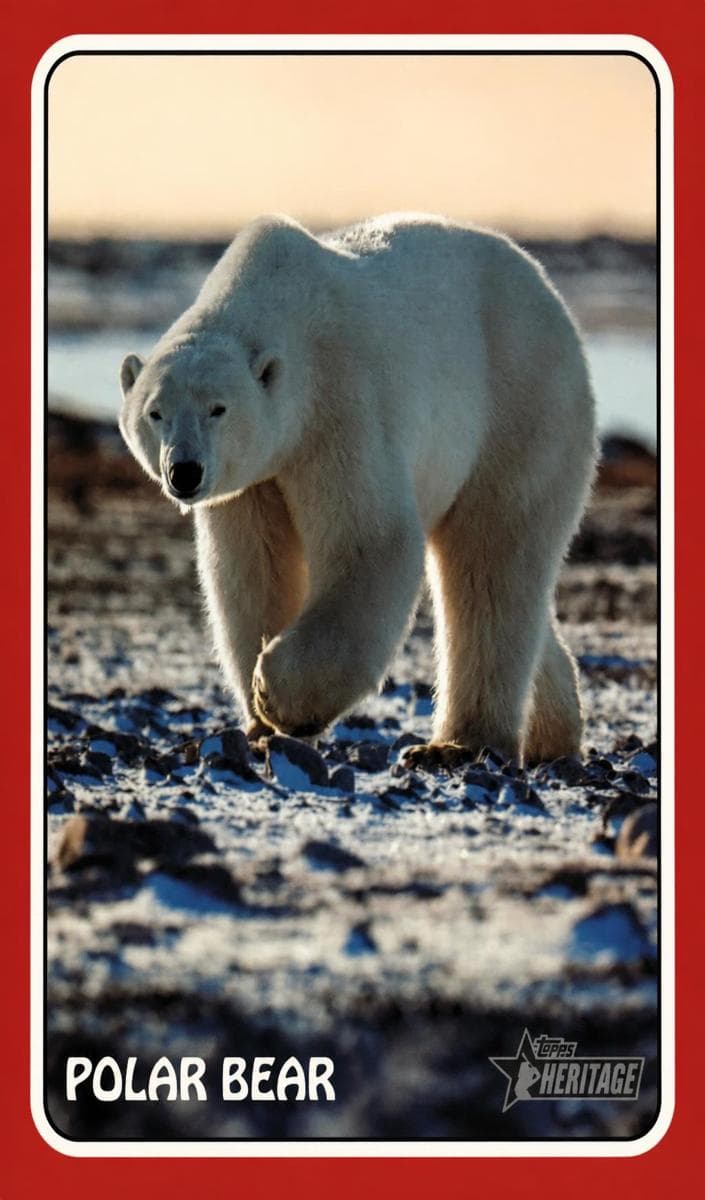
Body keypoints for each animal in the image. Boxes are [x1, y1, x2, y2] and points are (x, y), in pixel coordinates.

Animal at [119, 213, 596, 768]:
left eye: (218, 408)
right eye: (155, 412)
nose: (185, 472)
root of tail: (549, 293)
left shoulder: (340, 408)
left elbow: (372, 542)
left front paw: (275, 694)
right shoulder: (253, 480)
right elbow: (252, 569)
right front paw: (259, 724)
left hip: (521, 403)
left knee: (491, 558)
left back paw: (460, 744)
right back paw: (553, 732)